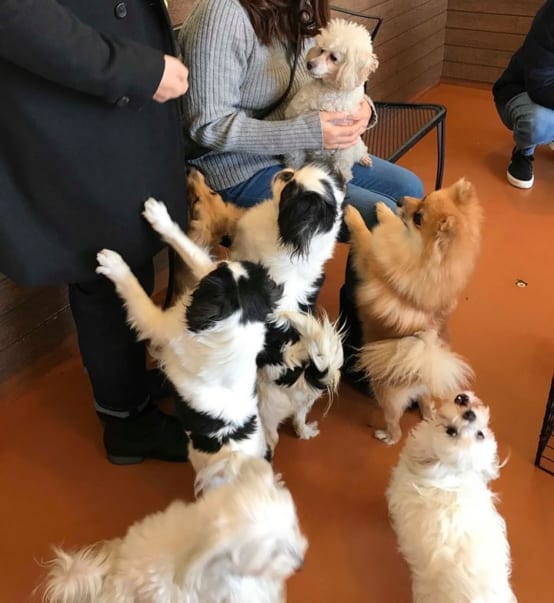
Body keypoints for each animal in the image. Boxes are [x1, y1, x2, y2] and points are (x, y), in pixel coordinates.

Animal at [96, 199, 283, 494]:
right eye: (228, 266)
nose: (226, 258)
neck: (235, 333)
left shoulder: (158, 325)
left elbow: (134, 290)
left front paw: (114, 264)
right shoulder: (205, 270)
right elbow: (190, 248)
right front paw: (159, 216)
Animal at [284, 18, 379, 181]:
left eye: (334, 58)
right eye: (321, 50)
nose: (309, 64)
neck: (330, 91)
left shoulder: (345, 143)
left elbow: (343, 166)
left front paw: (343, 180)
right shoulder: (295, 125)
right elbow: (294, 156)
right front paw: (293, 172)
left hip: (356, 145)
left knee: (362, 151)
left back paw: (364, 158)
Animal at [344, 179, 483, 443]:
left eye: (419, 218)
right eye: (424, 197)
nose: (399, 200)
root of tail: (421, 369)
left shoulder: (370, 256)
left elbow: (364, 234)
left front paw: (351, 212)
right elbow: (388, 223)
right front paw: (383, 209)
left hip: (384, 394)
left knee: (395, 425)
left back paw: (386, 436)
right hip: (424, 392)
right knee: (426, 406)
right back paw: (428, 417)